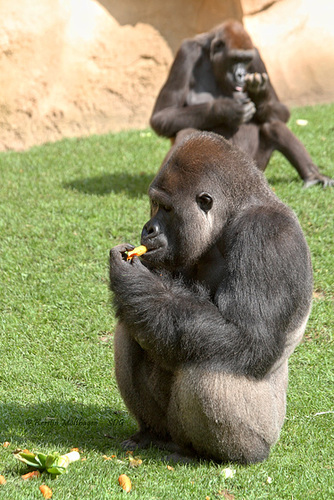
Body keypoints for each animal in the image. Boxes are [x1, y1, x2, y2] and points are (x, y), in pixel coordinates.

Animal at [109, 131, 314, 462]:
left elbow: (247, 336)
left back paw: (216, 455)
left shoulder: (266, 235)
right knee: (133, 327)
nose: (147, 229)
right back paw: (153, 435)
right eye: (153, 204)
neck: (231, 217)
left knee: (212, 360)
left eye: (166, 208)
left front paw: (135, 281)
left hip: (264, 432)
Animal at [150, 19, 332, 188]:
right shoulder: (187, 52)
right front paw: (226, 109)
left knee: (272, 124)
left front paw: (260, 96)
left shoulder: (257, 57)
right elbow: (162, 115)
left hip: (255, 170)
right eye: (235, 59)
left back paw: (313, 175)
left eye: (246, 60)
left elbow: (282, 110)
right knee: (188, 130)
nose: (241, 74)